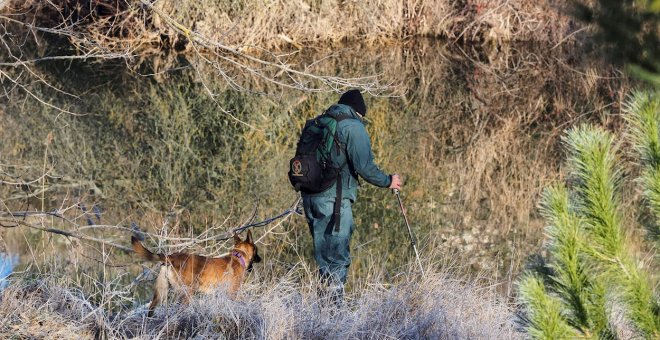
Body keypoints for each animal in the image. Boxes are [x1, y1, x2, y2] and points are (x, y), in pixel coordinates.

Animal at [131, 230, 260, 318]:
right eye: (256, 250)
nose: (260, 259)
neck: (239, 257)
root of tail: (170, 257)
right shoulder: (232, 292)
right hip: (187, 293)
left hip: (160, 293)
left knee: (151, 310)